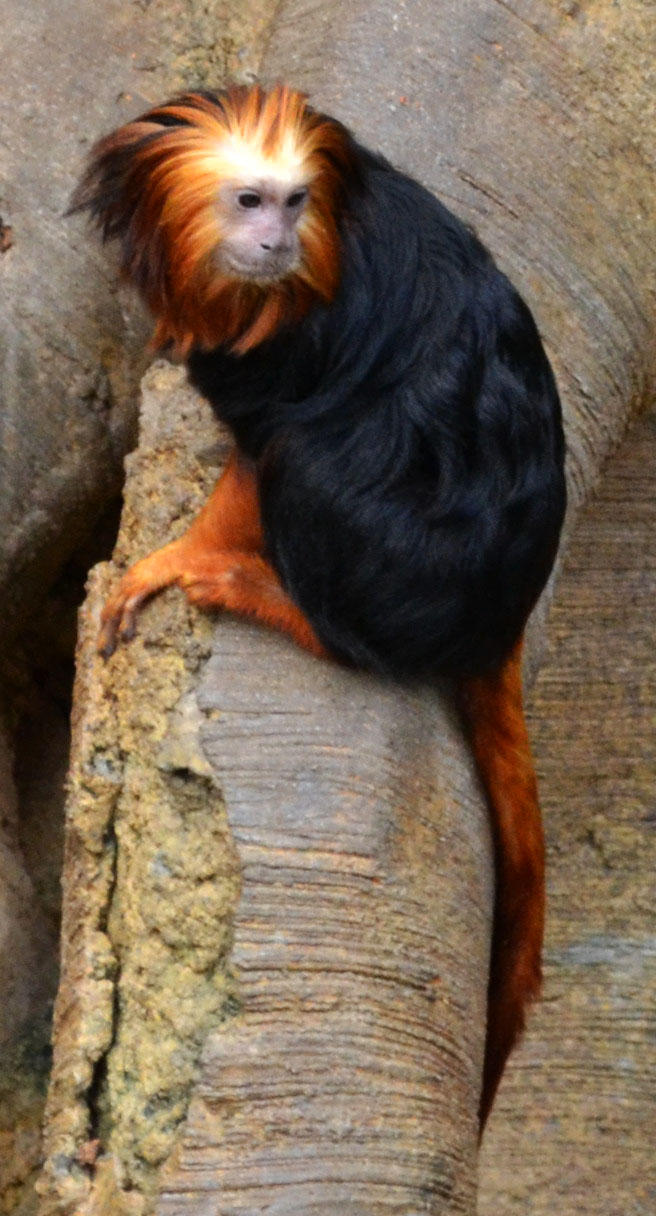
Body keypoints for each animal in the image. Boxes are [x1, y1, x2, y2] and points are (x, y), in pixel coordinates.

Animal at [71, 83, 566, 1129]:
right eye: (250, 201)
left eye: (295, 203)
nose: (276, 243)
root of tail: (500, 611)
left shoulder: (289, 333)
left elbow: (267, 445)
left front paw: (181, 558)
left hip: (405, 572)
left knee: (311, 457)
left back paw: (273, 599)